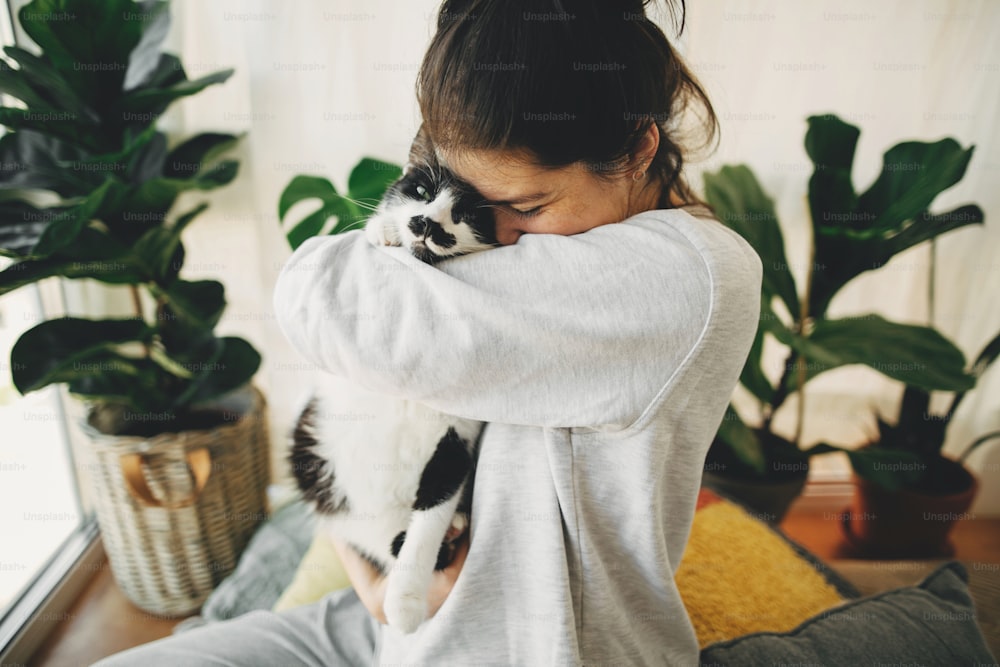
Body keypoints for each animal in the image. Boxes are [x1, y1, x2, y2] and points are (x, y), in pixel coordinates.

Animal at [290, 128, 496, 636]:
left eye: (465, 215)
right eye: (420, 190)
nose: (424, 222)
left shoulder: (455, 443)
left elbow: (427, 524)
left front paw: (404, 602)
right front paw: (382, 232)